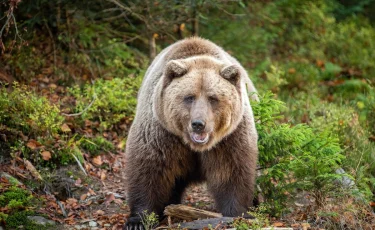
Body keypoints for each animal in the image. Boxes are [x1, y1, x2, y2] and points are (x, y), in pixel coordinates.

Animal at [125, 37, 260, 228]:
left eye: (213, 98)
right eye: (189, 97)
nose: (198, 124)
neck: (194, 145)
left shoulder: (230, 137)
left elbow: (232, 171)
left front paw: (238, 213)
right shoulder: (161, 133)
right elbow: (148, 171)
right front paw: (138, 220)